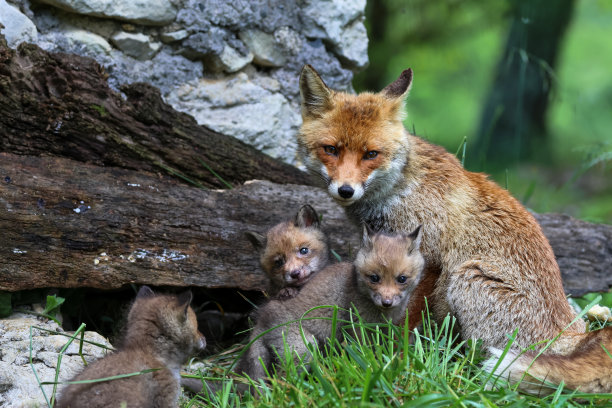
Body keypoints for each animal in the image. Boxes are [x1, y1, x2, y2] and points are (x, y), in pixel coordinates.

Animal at [296, 64, 612, 396]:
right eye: (331, 149)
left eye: (371, 154)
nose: (346, 190)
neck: (399, 189)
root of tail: (568, 337)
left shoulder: (425, 260)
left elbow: (404, 321)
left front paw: (394, 358)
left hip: (466, 278)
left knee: (477, 356)